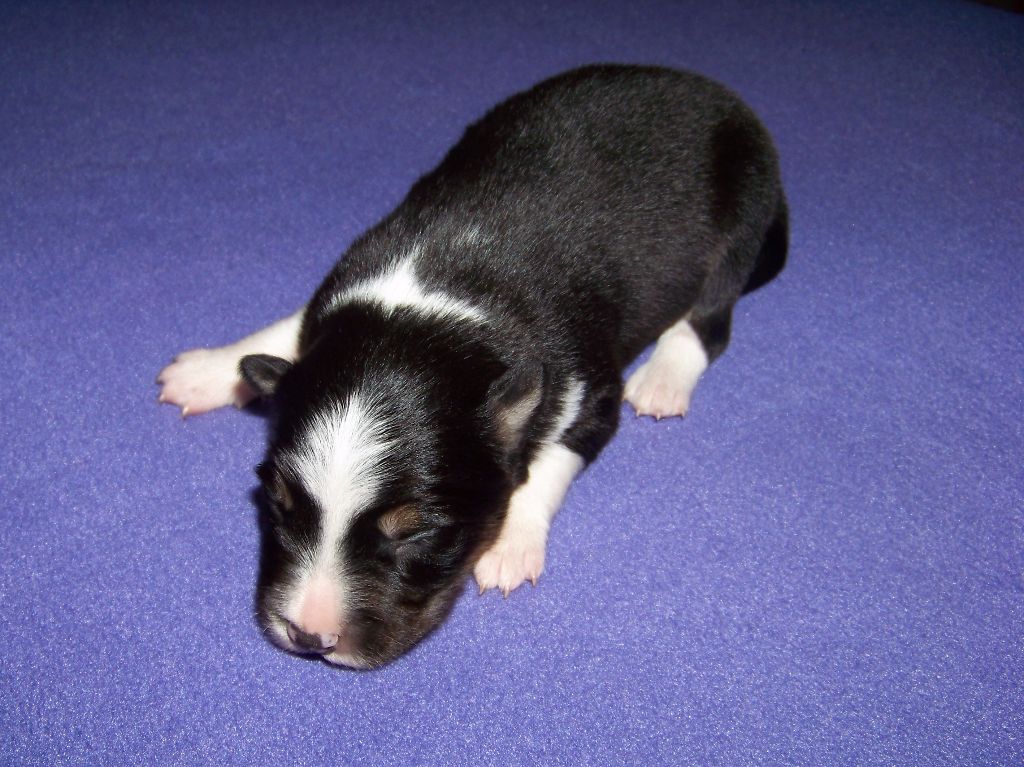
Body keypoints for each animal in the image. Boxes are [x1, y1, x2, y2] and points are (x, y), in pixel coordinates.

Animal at [157, 65, 787, 668]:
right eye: (277, 503)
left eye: (420, 534)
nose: (310, 636)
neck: (435, 306)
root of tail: (712, 92)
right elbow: (289, 328)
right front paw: (211, 369)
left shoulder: (590, 387)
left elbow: (549, 462)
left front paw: (511, 544)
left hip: (740, 220)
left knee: (709, 319)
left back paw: (662, 379)